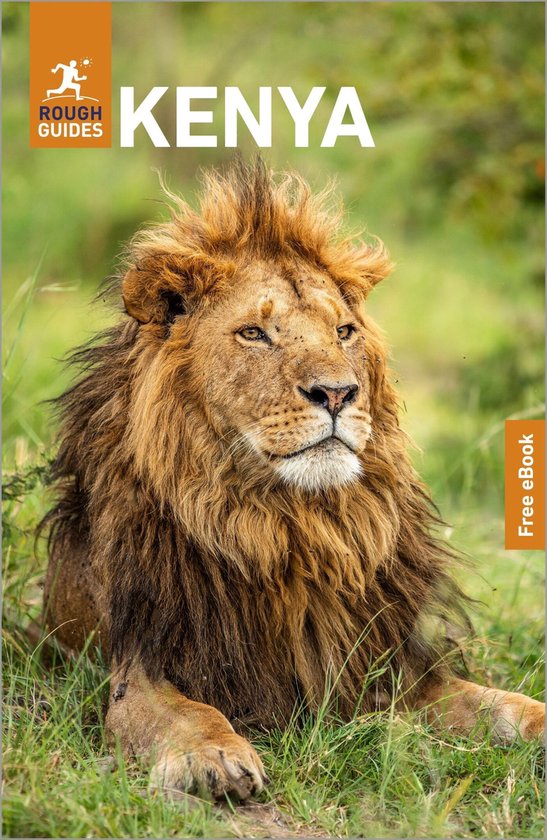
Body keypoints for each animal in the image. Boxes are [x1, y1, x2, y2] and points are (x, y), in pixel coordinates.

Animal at [43, 159, 544, 801]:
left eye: (345, 332)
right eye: (255, 333)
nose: (337, 392)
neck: (292, 528)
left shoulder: (392, 670)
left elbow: (509, 706)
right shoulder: (139, 666)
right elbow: (189, 712)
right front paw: (216, 754)